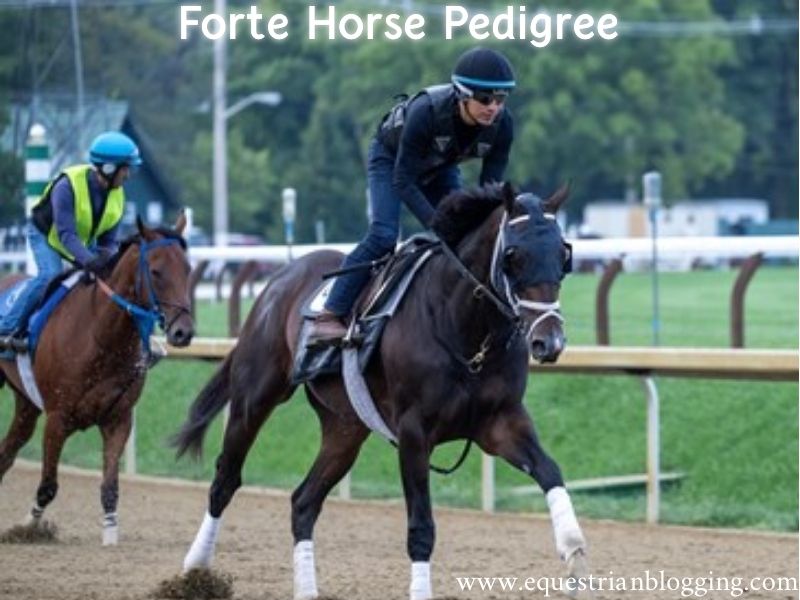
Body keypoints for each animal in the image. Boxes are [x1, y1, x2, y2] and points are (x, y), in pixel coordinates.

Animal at [0, 213, 195, 545]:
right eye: (156, 271)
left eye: (188, 269)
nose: (184, 332)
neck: (100, 337)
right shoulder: (57, 417)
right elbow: (48, 486)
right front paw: (26, 528)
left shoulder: (118, 418)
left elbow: (110, 487)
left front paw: (110, 537)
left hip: (25, 403)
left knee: (8, 451)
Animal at [172, 183, 591, 600]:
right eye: (512, 256)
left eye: (563, 254)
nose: (549, 342)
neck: (465, 331)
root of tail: (278, 279)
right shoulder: (414, 432)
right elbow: (421, 527)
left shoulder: (500, 422)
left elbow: (550, 471)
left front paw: (574, 554)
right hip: (255, 396)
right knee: (225, 480)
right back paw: (195, 570)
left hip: (344, 429)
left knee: (303, 502)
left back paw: (305, 589)